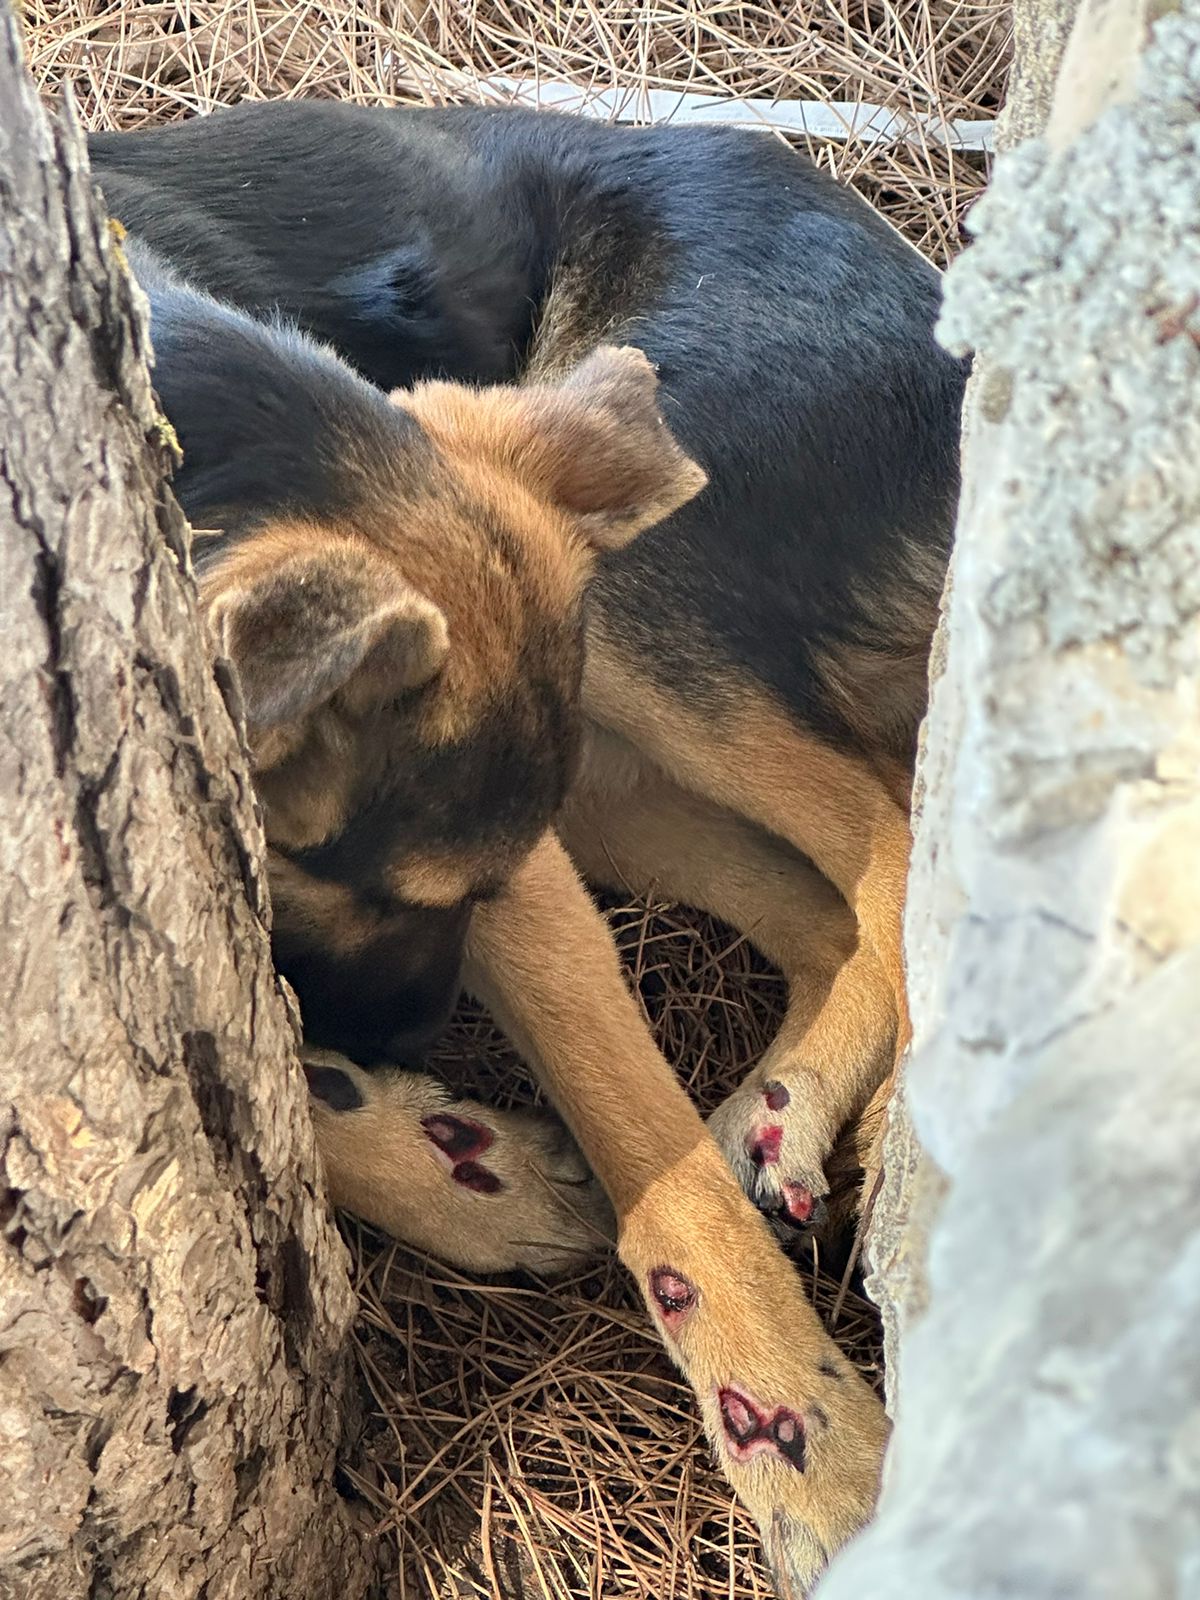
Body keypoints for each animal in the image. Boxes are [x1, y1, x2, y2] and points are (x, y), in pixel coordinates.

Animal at [89, 106, 966, 1593]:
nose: (399, 1045)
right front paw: (450, 1163)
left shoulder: (505, 866)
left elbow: (646, 1150)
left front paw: (799, 1434)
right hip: (600, 742)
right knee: (816, 903)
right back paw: (779, 1101)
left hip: (641, 596)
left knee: (889, 842)